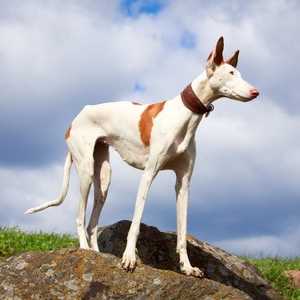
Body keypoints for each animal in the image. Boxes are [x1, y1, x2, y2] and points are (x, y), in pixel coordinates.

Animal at [25, 37, 258, 276]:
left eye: (239, 73)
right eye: (230, 73)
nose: (255, 92)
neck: (185, 116)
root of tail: (76, 118)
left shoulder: (183, 183)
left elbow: (183, 232)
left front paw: (187, 267)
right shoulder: (148, 174)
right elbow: (135, 223)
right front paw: (129, 258)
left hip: (104, 178)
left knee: (92, 224)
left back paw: (97, 253)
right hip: (86, 170)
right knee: (80, 217)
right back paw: (84, 250)